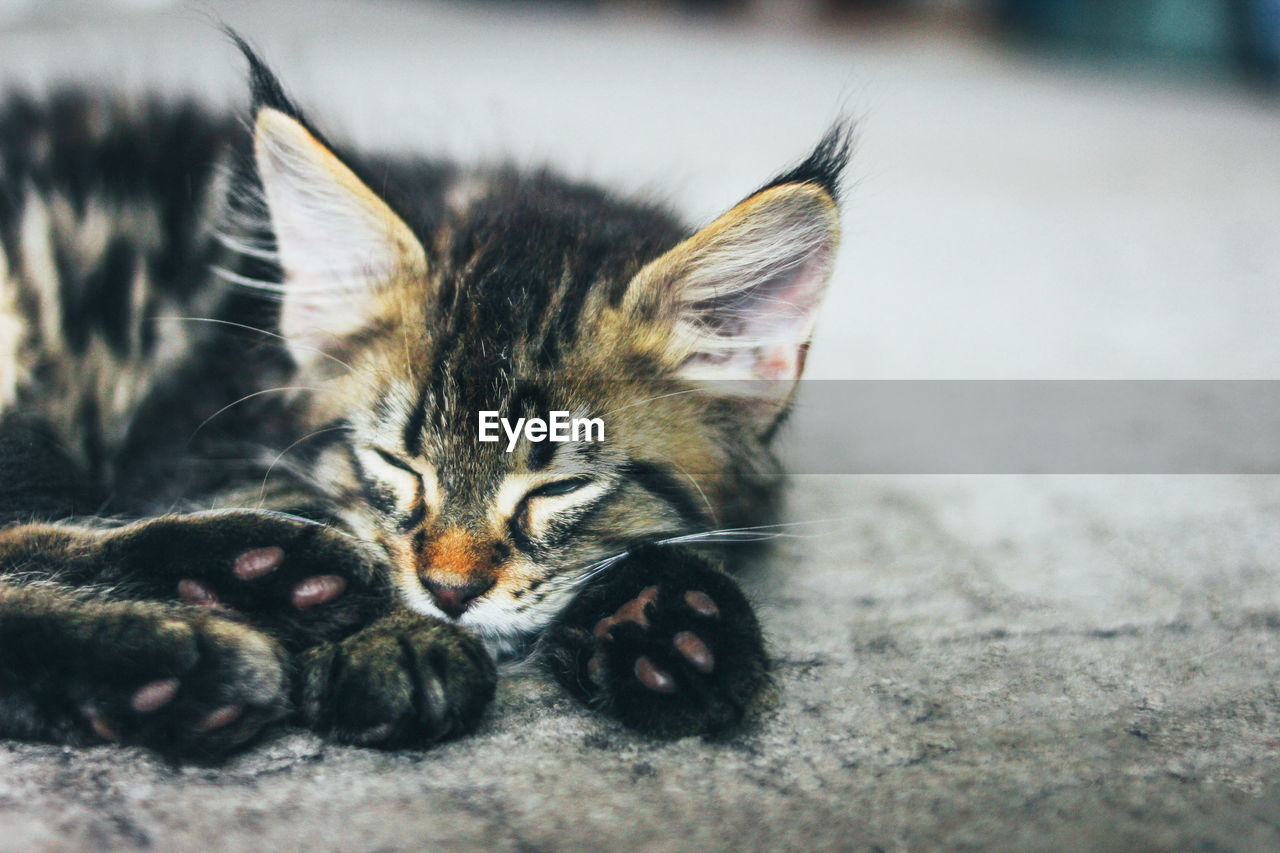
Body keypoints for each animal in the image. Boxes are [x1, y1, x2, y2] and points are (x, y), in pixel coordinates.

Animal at [0, 39, 849, 758]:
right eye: (396, 465)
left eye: (559, 488)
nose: (449, 592)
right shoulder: (193, 437)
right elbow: (322, 512)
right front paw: (399, 641)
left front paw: (669, 621)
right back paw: (208, 625)